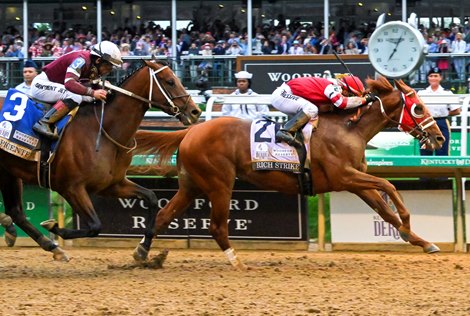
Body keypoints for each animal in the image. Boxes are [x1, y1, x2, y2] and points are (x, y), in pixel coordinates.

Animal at [0, 58, 200, 260]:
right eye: (170, 81)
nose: (195, 111)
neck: (103, 130)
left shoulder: (111, 184)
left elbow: (151, 197)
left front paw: (144, 248)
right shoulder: (70, 187)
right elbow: (95, 226)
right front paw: (54, 226)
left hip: (9, 172)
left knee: (16, 212)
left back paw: (46, 244)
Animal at [131, 77, 444, 272]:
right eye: (418, 108)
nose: (439, 138)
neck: (349, 129)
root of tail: (191, 131)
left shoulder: (356, 181)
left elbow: (385, 209)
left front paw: (421, 241)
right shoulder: (344, 177)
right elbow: (389, 186)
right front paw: (407, 226)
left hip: (192, 184)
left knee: (163, 216)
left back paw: (142, 255)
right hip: (219, 184)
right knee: (217, 227)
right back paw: (237, 263)